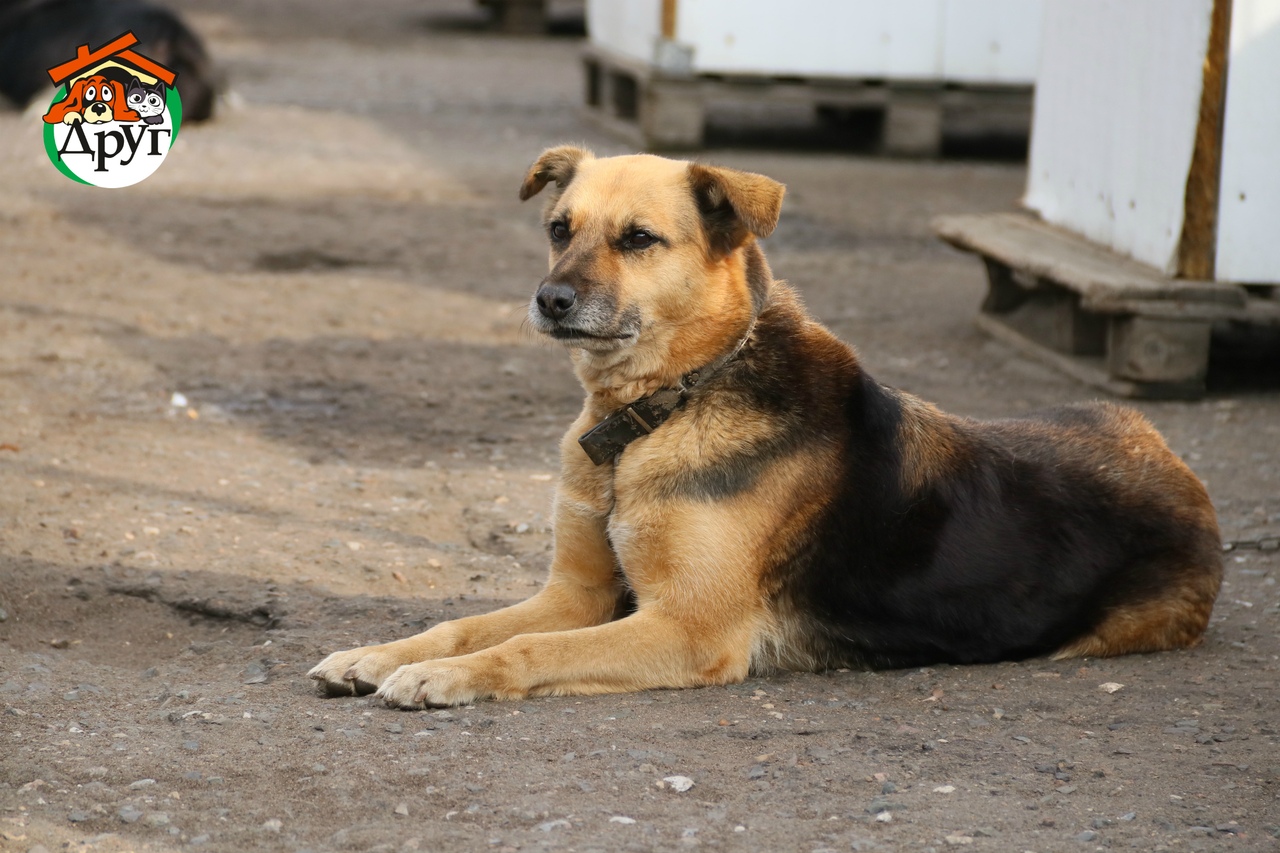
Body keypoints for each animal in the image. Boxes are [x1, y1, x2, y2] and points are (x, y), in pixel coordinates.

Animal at [307, 146, 1218, 701]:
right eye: (559, 229)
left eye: (640, 239)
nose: (550, 300)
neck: (662, 408)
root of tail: (1179, 465)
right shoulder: (577, 593)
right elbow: (460, 622)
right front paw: (378, 654)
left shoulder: (685, 627)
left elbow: (525, 649)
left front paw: (445, 676)